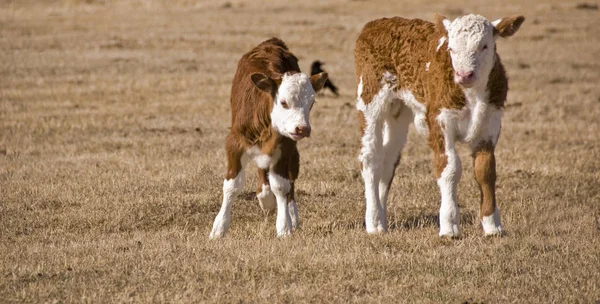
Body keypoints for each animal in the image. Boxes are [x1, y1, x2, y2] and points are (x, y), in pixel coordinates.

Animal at [209, 37, 326, 238]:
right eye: (283, 102)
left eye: (311, 103)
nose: (302, 128)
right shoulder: (234, 143)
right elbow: (232, 185)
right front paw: (219, 227)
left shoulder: (285, 145)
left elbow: (281, 185)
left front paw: (285, 226)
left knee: (290, 179)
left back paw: (289, 212)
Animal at [354, 13, 524, 236]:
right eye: (451, 48)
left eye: (484, 46)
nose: (464, 75)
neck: (472, 95)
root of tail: (377, 23)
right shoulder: (439, 123)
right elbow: (450, 167)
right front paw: (449, 225)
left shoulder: (489, 125)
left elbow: (486, 171)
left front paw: (492, 225)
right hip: (369, 100)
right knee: (371, 158)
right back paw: (373, 222)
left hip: (398, 112)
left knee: (388, 160)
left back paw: (382, 220)